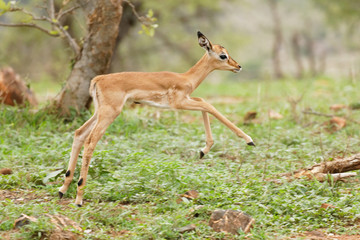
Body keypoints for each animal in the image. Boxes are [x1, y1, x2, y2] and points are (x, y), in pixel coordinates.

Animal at [59, 31, 255, 206]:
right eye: (223, 55)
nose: (238, 66)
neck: (186, 78)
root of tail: (98, 79)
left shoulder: (188, 100)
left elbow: (203, 102)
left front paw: (203, 150)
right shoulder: (179, 103)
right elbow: (208, 105)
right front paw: (248, 140)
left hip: (99, 113)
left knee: (79, 133)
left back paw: (63, 189)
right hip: (109, 113)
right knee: (90, 141)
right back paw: (79, 198)